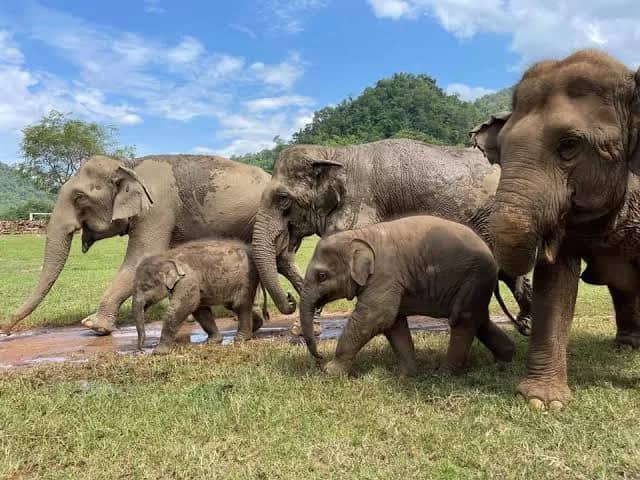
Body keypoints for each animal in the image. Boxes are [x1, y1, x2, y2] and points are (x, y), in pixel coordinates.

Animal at [3, 154, 299, 335]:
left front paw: (94, 325)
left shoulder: (157, 208)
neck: (127, 165)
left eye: (79, 198)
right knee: (276, 260)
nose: (4, 328)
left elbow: (141, 257)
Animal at [133, 239, 269, 354]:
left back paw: (241, 339)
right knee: (234, 306)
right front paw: (213, 341)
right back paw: (255, 326)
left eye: (146, 287)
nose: (141, 350)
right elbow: (199, 309)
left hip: (247, 278)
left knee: (240, 305)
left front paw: (158, 352)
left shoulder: (188, 280)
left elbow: (182, 307)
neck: (166, 256)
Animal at [252, 138, 534, 336]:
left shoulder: (360, 207)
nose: (290, 299)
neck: (334, 153)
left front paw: (301, 331)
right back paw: (525, 323)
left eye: (283, 198)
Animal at [298, 215, 516, 376]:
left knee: (462, 319)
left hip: (474, 277)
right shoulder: (392, 282)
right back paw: (504, 361)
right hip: (477, 283)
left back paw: (444, 374)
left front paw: (330, 372)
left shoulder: (385, 275)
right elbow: (393, 323)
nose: (319, 356)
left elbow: (375, 317)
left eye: (322, 276)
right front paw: (406, 375)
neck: (359, 234)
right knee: (479, 320)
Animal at [469, 49, 640, 410]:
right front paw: (542, 403)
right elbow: (555, 281)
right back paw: (628, 345)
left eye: (569, 144)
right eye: (501, 149)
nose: (522, 325)